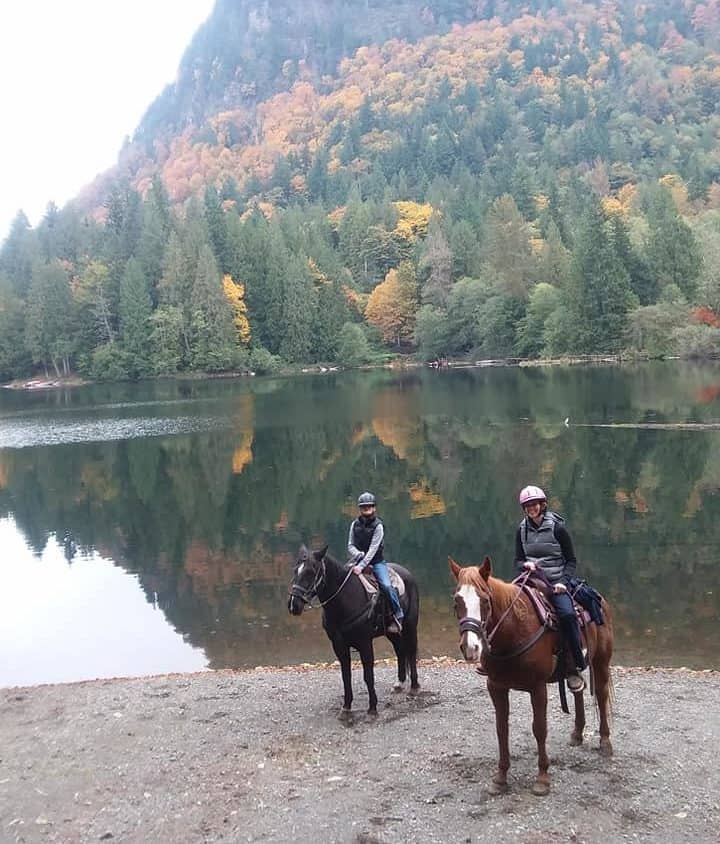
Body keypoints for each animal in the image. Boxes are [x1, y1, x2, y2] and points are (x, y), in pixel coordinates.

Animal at [450, 556, 612, 796]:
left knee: (601, 695)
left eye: (485, 601)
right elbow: (501, 729)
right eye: (457, 602)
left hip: (601, 661)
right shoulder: (496, 686)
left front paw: (543, 778)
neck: (514, 631)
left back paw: (605, 742)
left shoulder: (537, 687)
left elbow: (539, 729)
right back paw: (577, 734)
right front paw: (500, 778)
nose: (471, 647)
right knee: (578, 691)